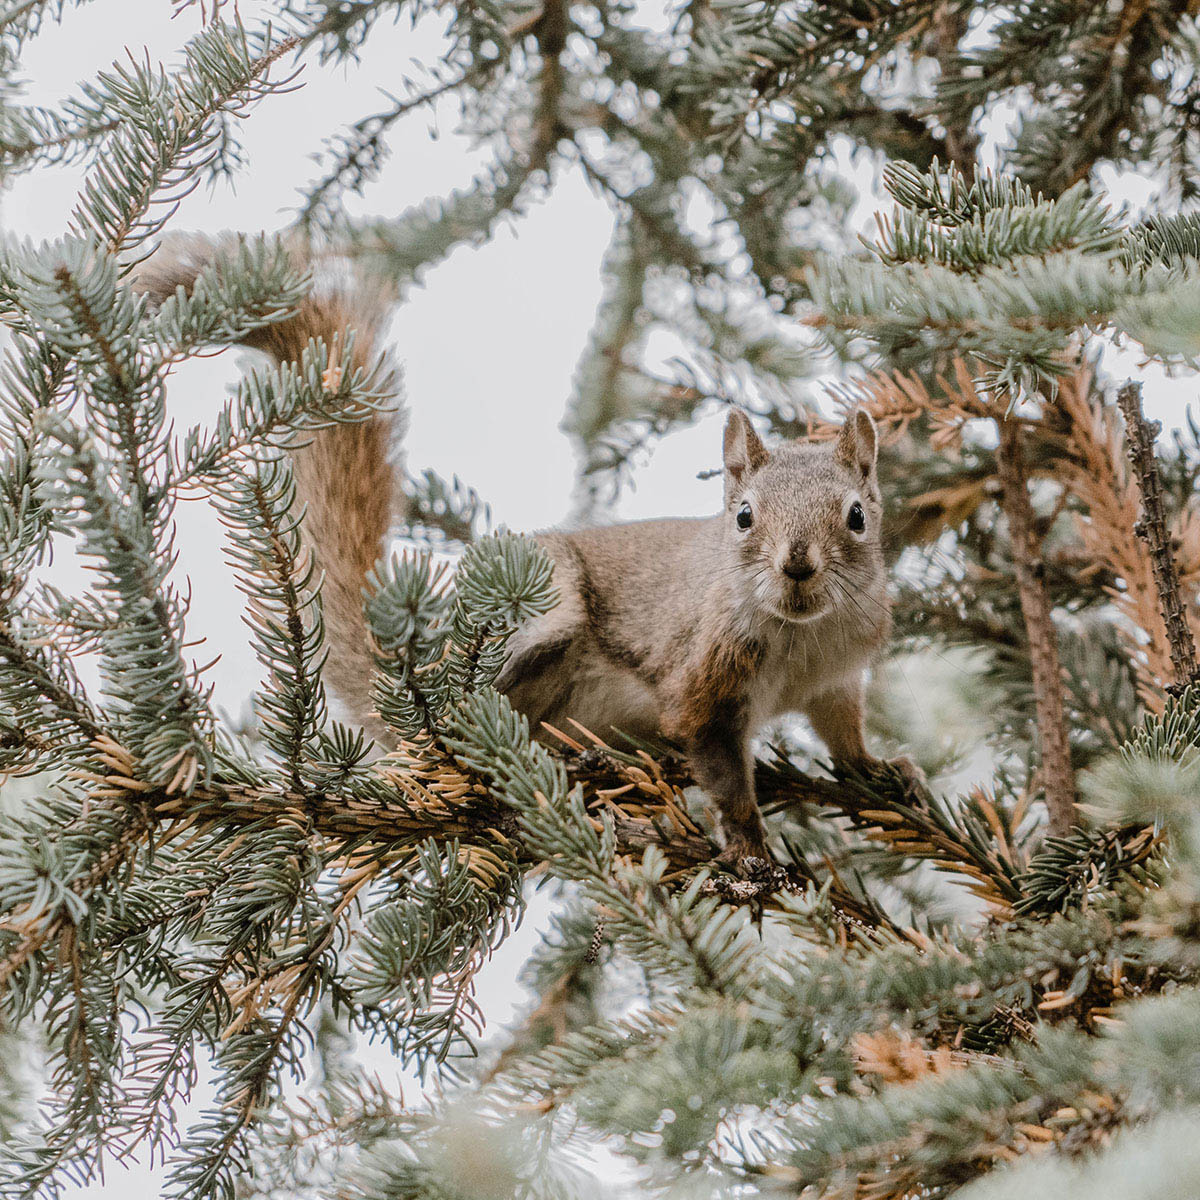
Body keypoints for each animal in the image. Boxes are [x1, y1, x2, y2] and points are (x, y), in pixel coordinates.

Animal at [135, 236, 912, 868]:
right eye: (744, 516)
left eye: (856, 516)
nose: (798, 565)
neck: (799, 638)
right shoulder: (705, 683)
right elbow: (721, 769)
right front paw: (752, 853)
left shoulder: (840, 674)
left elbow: (843, 730)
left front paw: (879, 771)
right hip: (543, 616)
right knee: (447, 730)